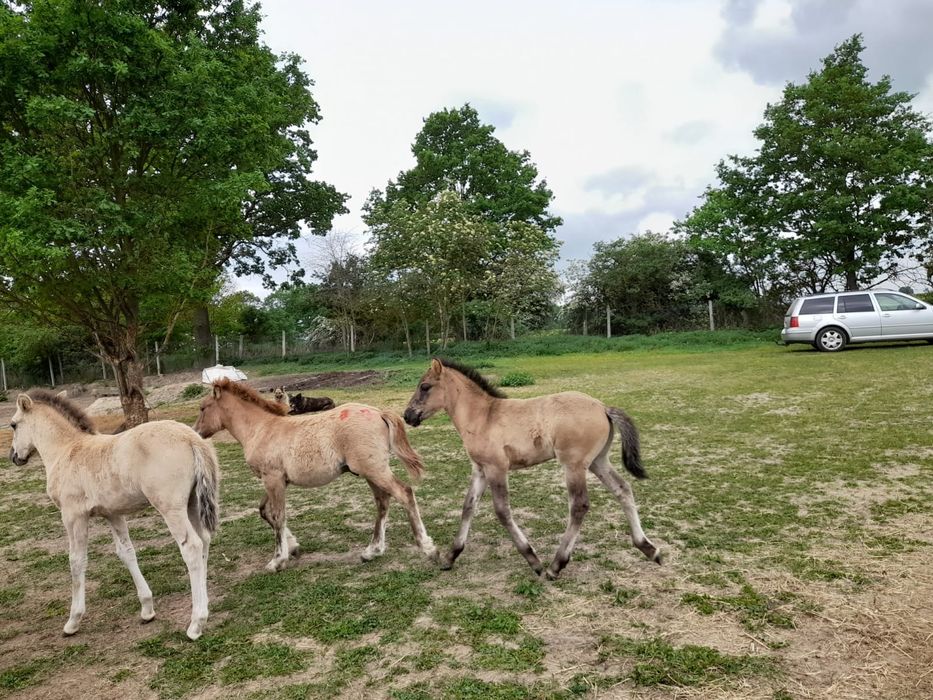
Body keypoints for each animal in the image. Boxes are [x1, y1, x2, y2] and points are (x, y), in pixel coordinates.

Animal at [7, 388, 218, 640]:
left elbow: (76, 561)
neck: (66, 450)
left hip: (171, 508)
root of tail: (191, 438)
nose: (13, 457)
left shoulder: (73, 516)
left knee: (192, 547)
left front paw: (73, 621)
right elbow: (126, 552)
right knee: (204, 541)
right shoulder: (113, 514)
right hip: (192, 503)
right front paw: (147, 609)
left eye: (13, 424)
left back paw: (196, 624)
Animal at [195, 380, 436, 572]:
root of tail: (378, 413)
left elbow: (278, 515)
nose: (196, 433)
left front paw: (277, 561)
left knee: (404, 493)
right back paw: (372, 551)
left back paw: (427, 546)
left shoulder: (273, 478)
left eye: (203, 408)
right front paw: (293, 547)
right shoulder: (275, 480)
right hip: (370, 472)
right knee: (383, 501)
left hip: (375, 470)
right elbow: (265, 512)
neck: (261, 429)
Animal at [404, 360, 660, 580]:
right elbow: (468, 507)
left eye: (425, 387)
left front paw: (533, 560)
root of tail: (603, 407)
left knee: (579, 505)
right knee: (623, 489)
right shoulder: (480, 469)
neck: (483, 417)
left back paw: (556, 565)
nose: (407, 415)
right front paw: (450, 556)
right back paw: (649, 549)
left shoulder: (496, 468)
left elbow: (502, 511)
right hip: (598, 461)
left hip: (574, 465)